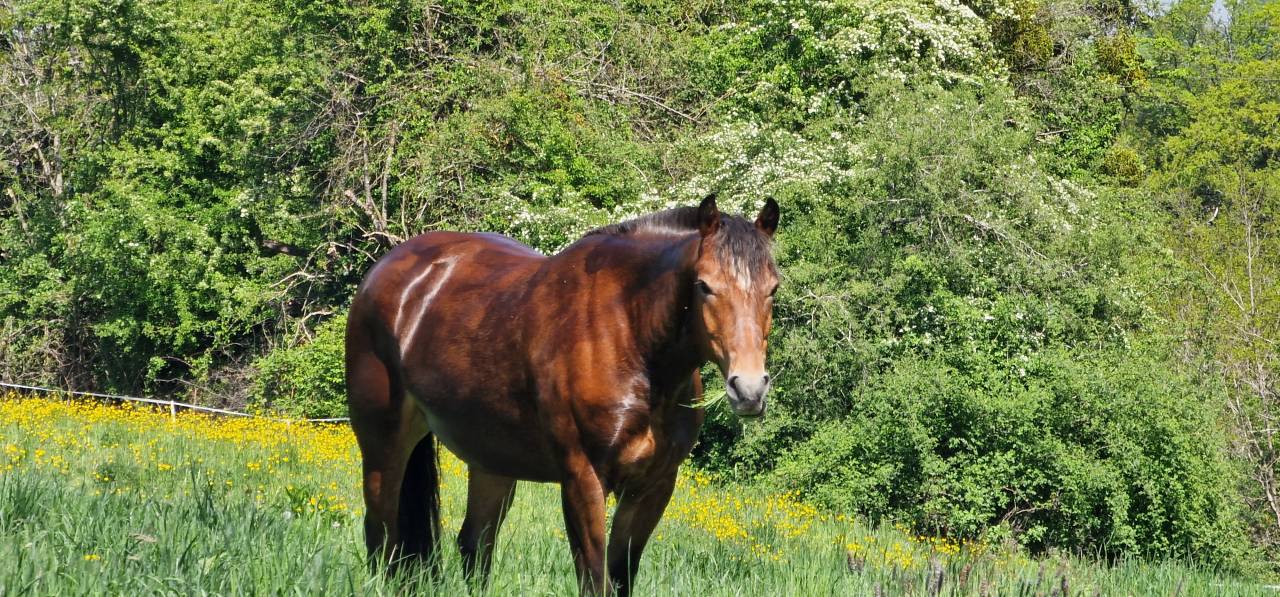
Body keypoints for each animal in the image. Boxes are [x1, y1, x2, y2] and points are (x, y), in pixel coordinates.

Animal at [345, 194, 780, 595]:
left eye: (773, 288)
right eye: (704, 285)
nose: (749, 388)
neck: (628, 332)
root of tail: (384, 274)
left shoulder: (654, 486)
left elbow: (620, 576)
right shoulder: (582, 479)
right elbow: (595, 579)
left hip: (492, 460)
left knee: (474, 545)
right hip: (384, 447)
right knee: (381, 534)